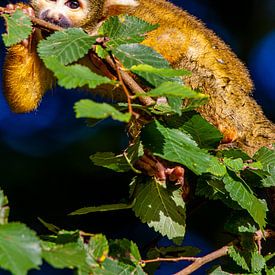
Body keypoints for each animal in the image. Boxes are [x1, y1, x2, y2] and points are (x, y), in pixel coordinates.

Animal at [3, 0, 275, 156]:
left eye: (72, 4)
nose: (53, 16)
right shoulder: (49, 40)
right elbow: (25, 98)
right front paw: (21, 21)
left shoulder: (125, 17)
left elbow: (175, 37)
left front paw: (112, 53)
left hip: (228, 103)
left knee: (191, 65)